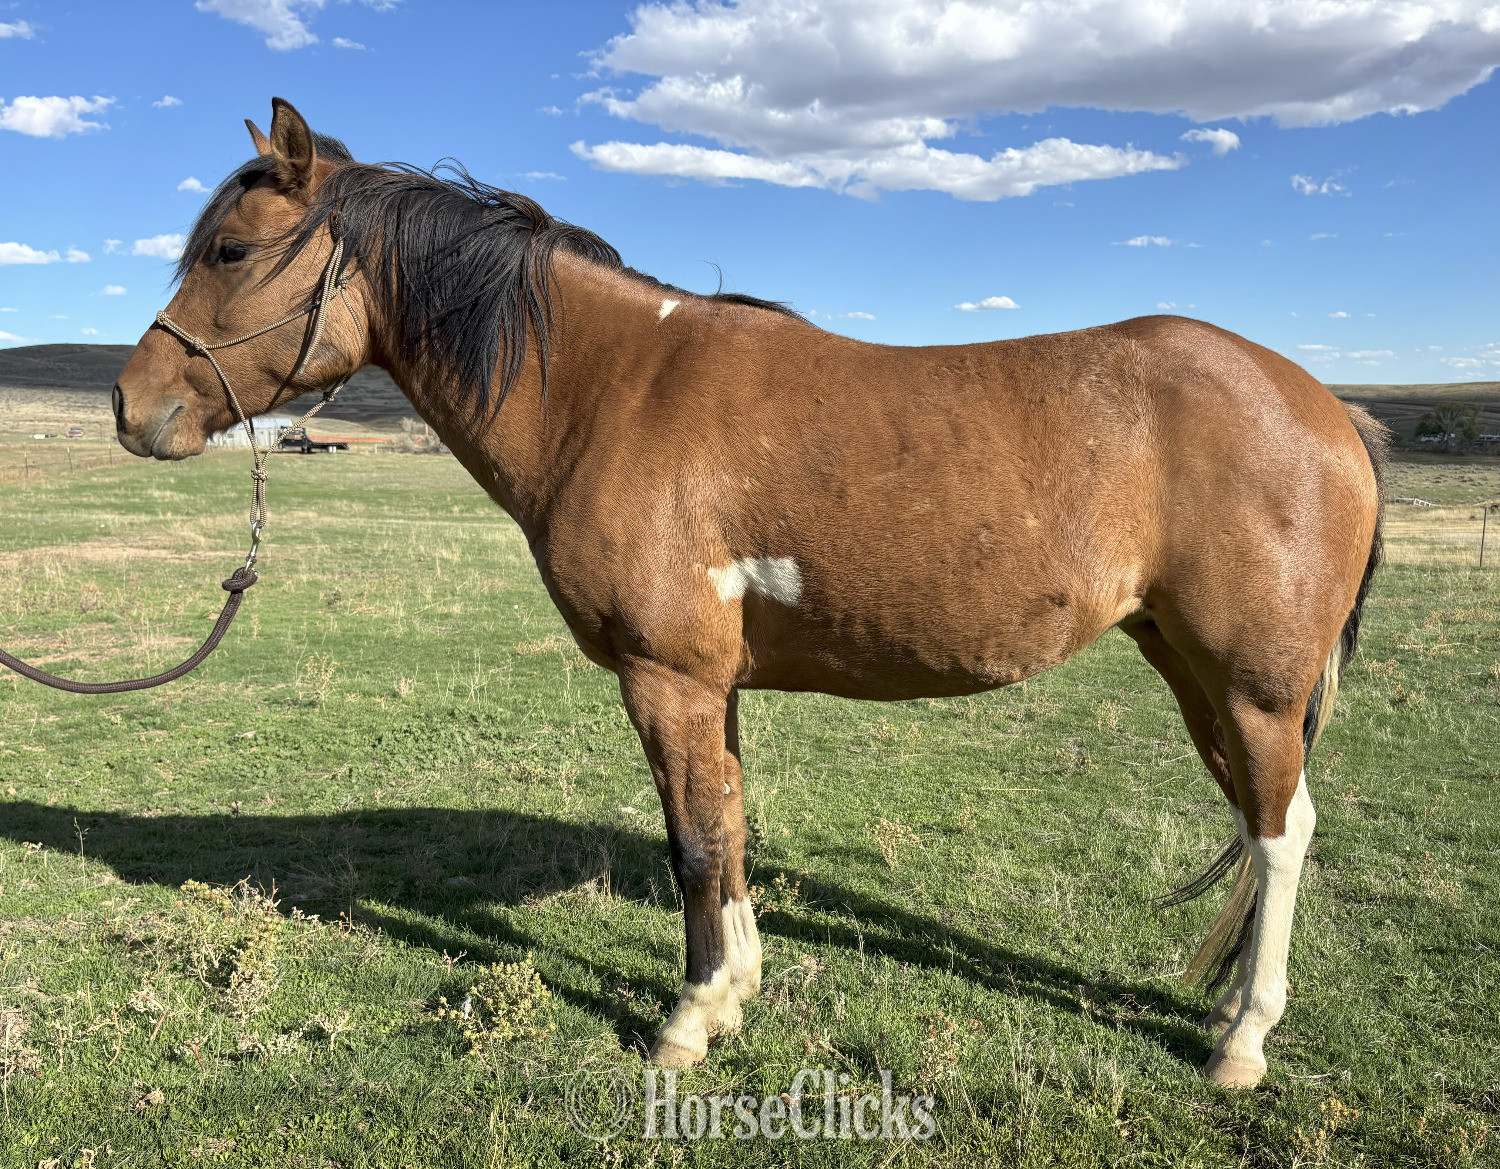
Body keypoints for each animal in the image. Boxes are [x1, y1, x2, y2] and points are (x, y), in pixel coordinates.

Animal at [112, 99, 1386, 1089]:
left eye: (231, 252)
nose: (132, 407)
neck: (611, 389)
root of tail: (1326, 408)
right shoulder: (711, 683)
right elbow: (725, 829)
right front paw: (733, 992)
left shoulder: (665, 676)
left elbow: (690, 840)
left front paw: (687, 1018)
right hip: (1189, 665)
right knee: (1265, 821)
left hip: (1252, 684)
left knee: (1282, 832)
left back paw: (1242, 1041)